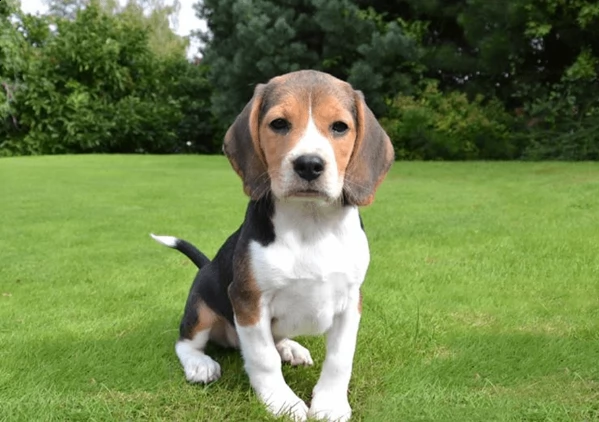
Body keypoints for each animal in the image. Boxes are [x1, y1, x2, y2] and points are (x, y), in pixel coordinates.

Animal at [151, 71, 394, 420]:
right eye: (279, 124)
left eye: (339, 127)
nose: (309, 164)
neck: (310, 223)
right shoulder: (249, 301)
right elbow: (264, 359)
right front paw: (282, 402)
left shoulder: (351, 301)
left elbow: (340, 359)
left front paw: (330, 403)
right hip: (201, 307)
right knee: (186, 342)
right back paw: (200, 364)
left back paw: (290, 347)